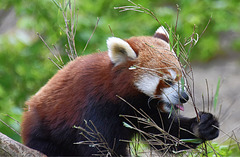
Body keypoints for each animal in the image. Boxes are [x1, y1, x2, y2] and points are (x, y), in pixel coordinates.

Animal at [21, 26, 218, 156]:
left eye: (179, 78)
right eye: (168, 81)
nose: (184, 97)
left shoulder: (144, 111)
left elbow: (164, 135)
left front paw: (203, 126)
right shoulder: (96, 105)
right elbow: (98, 145)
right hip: (44, 136)